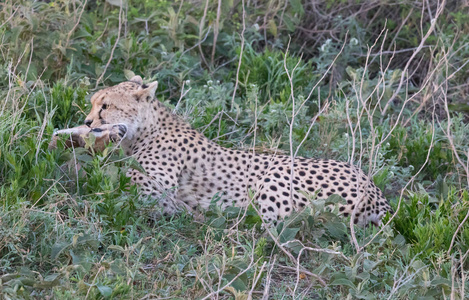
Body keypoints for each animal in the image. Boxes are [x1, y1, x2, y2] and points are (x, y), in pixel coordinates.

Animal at [53, 76, 392, 226]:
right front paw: (71, 136)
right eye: (93, 104)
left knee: (263, 224)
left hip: (275, 176)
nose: (88, 119)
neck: (146, 129)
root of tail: (378, 193)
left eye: (105, 105)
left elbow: (123, 170)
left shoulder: (159, 180)